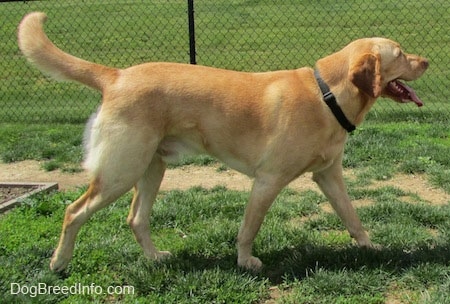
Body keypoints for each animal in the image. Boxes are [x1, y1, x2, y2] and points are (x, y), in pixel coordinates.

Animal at [18, 11, 428, 272]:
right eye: (400, 53)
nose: (426, 61)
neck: (327, 94)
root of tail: (116, 75)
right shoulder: (267, 181)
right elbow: (249, 228)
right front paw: (246, 263)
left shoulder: (328, 175)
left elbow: (353, 217)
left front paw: (372, 248)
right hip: (121, 171)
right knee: (73, 211)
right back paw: (58, 264)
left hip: (151, 168)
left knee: (136, 218)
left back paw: (155, 258)